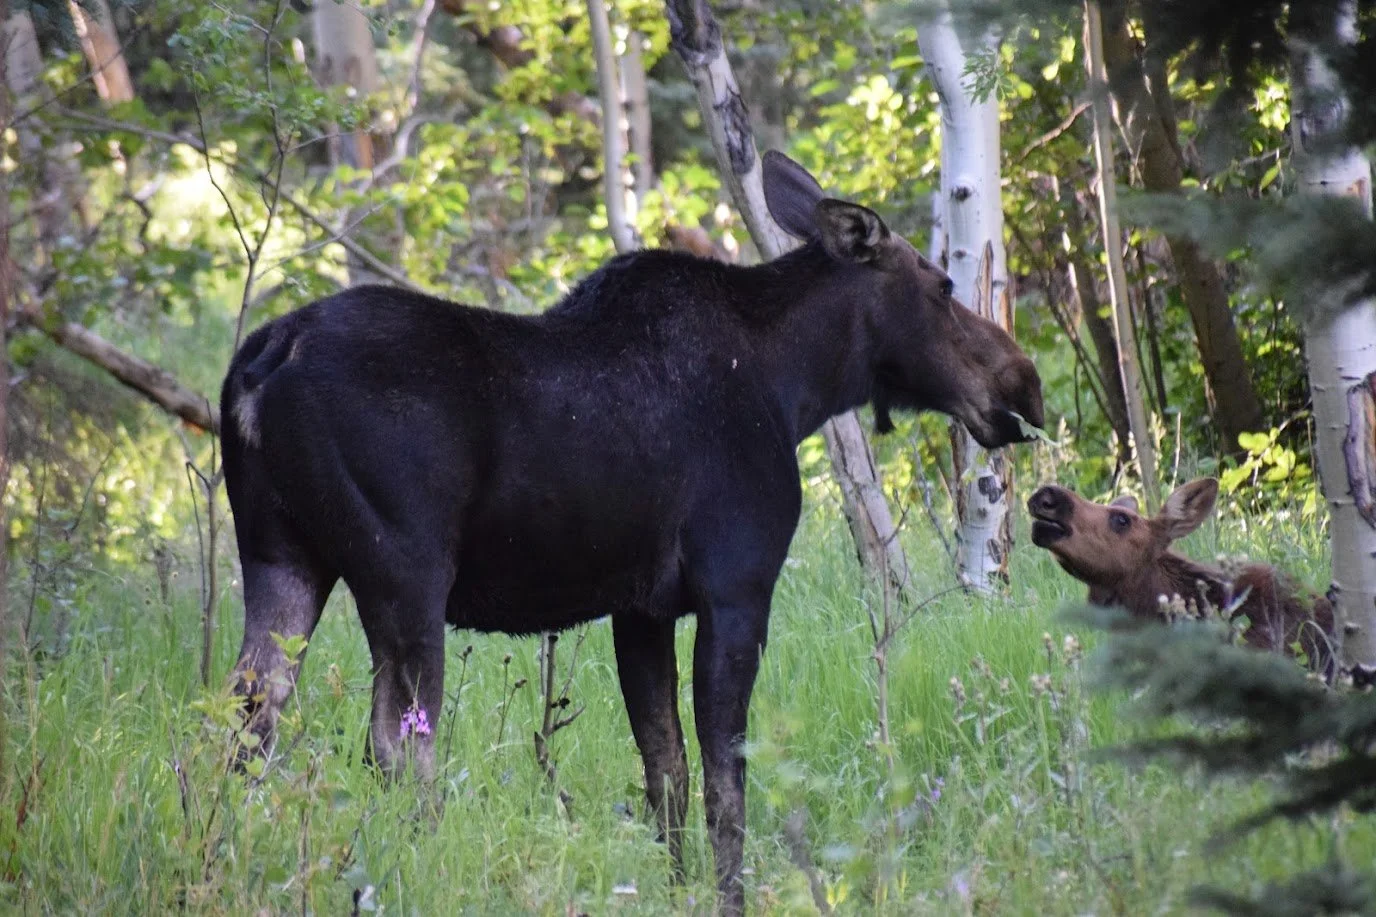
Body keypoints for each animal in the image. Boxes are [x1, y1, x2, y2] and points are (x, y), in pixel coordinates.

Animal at [220, 150, 1045, 914]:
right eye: (942, 288)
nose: (1024, 383)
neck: (797, 386)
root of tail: (265, 362)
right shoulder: (735, 587)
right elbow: (725, 781)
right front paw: (728, 896)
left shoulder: (640, 608)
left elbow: (665, 769)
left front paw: (679, 889)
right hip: (404, 572)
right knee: (395, 745)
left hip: (281, 556)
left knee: (243, 720)